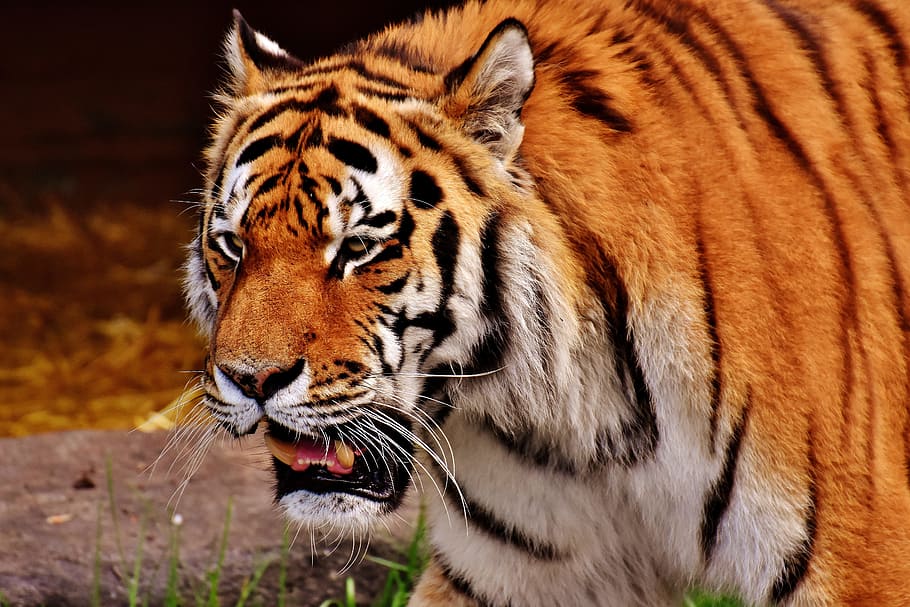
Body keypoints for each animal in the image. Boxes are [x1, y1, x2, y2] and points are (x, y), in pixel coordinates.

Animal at [182, 0, 910, 604]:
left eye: (359, 247)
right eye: (232, 245)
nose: (251, 381)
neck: (580, 408)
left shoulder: (863, 559)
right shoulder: (521, 571)